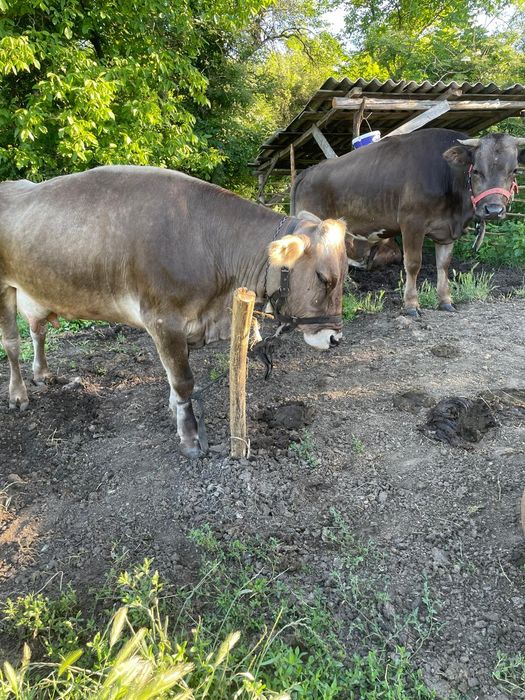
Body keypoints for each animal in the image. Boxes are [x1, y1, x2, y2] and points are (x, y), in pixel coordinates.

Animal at [0, 166, 347, 458]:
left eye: (344, 274)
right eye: (324, 278)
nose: (334, 339)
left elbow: (176, 376)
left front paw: (174, 409)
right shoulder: (163, 320)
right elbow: (183, 380)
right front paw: (190, 436)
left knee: (38, 330)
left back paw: (42, 373)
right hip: (4, 288)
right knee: (12, 344)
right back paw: (18, 395)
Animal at [291, 128, 525, 316]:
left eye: (514, 171)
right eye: (476, 170)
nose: (493, 209)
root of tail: (308, 171)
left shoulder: (446, 231)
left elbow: (444, 264)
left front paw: (445, 301)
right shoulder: (412, 222)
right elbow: (413, 264)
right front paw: (411, 304)